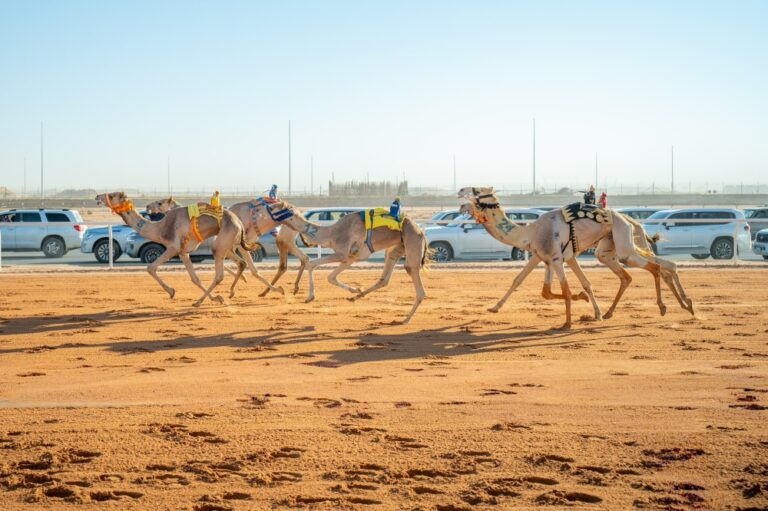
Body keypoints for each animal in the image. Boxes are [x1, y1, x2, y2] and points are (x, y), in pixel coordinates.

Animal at [95, 190, 252, 306]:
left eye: (112, 195)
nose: (97, 197)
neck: (160, 229)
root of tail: (239, 222)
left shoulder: (173, 248)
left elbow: (151, 268)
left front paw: (171, 292)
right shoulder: (184, 252)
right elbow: (195, 278)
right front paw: (213, 298)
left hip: (222, 242)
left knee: (220, 273)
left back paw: (200, 301)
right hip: (229, 245)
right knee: (241, 263)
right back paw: (229, 293)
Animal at [274, 204, 432, 324]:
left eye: (282, 209)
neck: (331, 233)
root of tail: (421, 232)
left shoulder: (343, 253)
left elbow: (312, 265)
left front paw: (309, 296)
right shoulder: (351, 257)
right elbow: (330, 276)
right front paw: (355, 290)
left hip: (412, 243)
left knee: (417, 284)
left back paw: (405, 320)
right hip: (397, 247)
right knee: (385, 277)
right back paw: (355, 297)